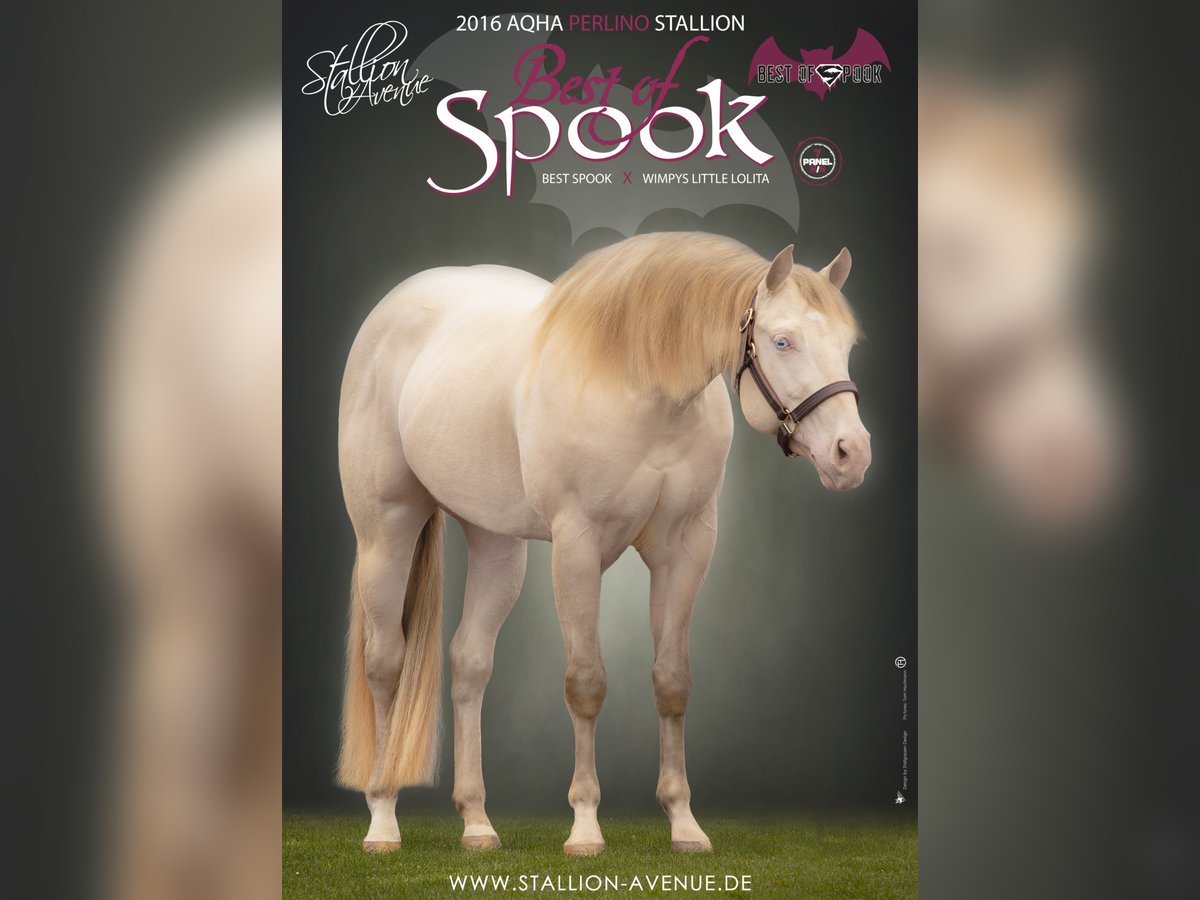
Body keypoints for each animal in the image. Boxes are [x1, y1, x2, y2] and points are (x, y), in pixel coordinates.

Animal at [335, 231, 871, 855]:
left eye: (847, 343)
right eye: (782, 340)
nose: (851, 454)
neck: (640, 387)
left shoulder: (687, 547)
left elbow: (672, 680)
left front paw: (684, 824)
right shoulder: (578, 545)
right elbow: (586, 683)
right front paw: (586, 826)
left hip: (497, 542)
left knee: (469, 662)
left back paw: (477, 823)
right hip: (386, 531)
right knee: (384, 662)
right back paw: (382, 820)